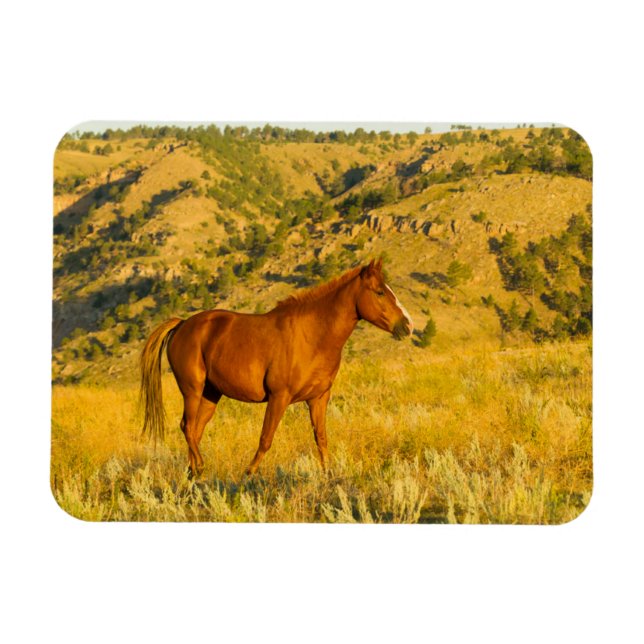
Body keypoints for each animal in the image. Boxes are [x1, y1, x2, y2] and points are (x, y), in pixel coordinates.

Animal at [139, 258, 413, 477]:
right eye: (379, 292)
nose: (407, 325)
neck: (312, 335)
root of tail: (183, 324)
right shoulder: (279, 397)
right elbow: (266, 438)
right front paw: (249, 473)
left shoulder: (318, 398)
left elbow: (321, 438)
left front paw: (328, 474)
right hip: (192, 390)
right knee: (187, 426)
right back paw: (200, 468)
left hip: (210, 394)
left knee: (195, 430)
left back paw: (194, 473)